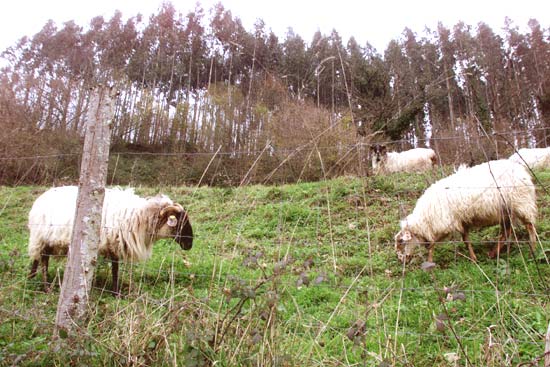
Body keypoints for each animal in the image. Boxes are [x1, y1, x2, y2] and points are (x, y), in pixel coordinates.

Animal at [27, 187, 194, 294]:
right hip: (42, 237)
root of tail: (39, 199)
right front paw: (115, 292)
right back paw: (45, 286)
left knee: (38, 259)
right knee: (43, 260)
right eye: (180, 222)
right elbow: (115, 269)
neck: (139, 217)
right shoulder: (114, 243)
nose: (189, 244)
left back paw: (31, 278)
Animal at [394, 160, 540, 264]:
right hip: (506, 211)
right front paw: (473, 258)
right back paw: (493, 253)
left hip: (521, 203)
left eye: (401, 241)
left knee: (530, 226)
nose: (401, 260)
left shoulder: (446, 224)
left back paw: (533, 249)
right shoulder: (461, 221)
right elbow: (466, 240)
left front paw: (430, 262)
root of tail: (522, 170)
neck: (425, 219)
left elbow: (433, 244)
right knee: (507, 232)